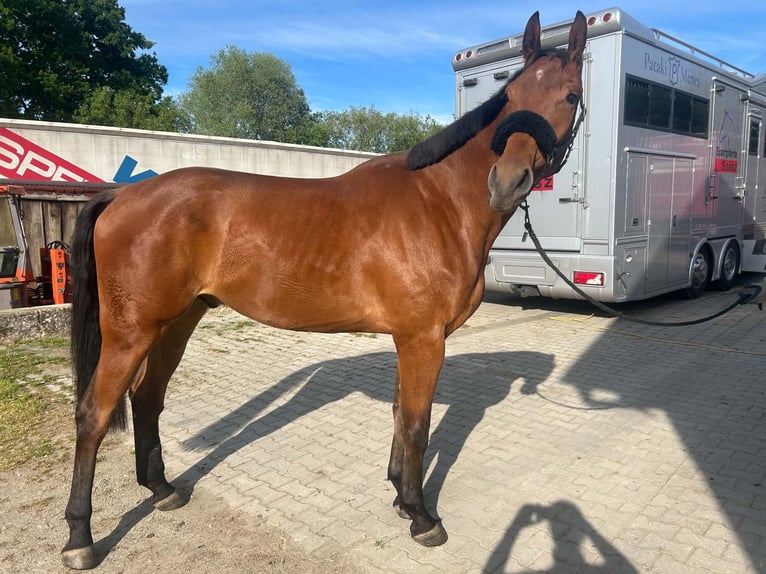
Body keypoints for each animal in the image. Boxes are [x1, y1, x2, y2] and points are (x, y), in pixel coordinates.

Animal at [62, 10, 587, 569]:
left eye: (570, 95)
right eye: (511, 97)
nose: (508, 181)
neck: (438, 202)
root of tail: (123, 195)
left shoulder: (410, 339)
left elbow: (400, 415)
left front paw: (400, 497)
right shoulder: (424, 339)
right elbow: (417, 424)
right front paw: (422, 517)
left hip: (177, 322)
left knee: (147, 398)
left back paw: (161, 490)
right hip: (131, 332)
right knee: (93, 415)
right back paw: (80, 538)